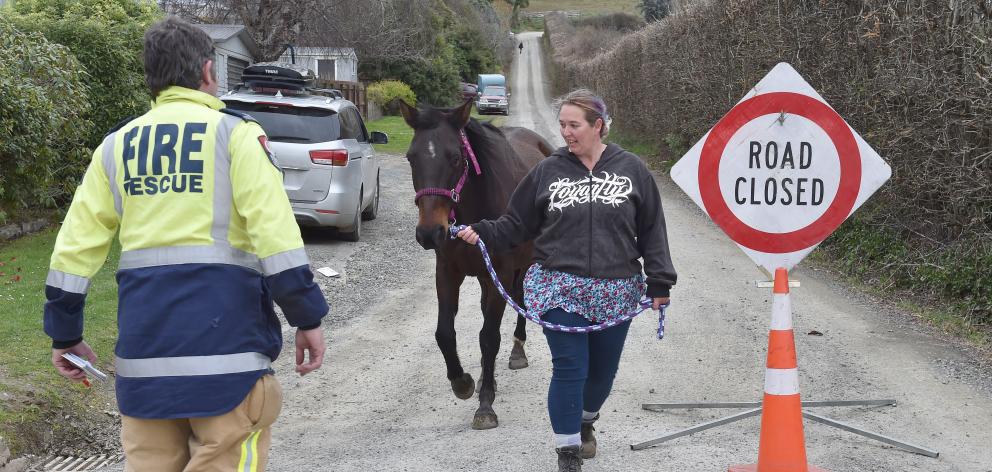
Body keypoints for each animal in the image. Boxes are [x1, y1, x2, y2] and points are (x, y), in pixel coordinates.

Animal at [400, 98, 556, 428]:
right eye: (410, 158)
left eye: (455, 158)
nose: (429, 233)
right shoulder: (448, 273)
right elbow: (445, 333)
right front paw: (463, 383)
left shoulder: (501, 273)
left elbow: (489, 337)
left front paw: (485, 405)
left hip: (517, 268)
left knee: (519, 302)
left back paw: (517, 351)